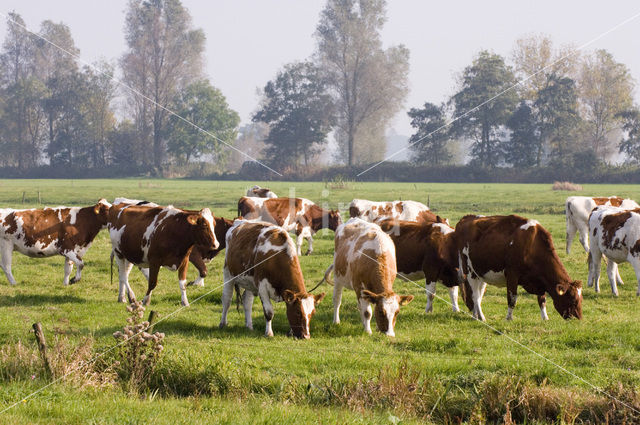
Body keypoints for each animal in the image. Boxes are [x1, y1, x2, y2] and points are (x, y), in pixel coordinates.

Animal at [456, 214, 584, 320]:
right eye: (572, 299)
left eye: (581, 299)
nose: (578, 318)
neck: (533, 245)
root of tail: (466, 218)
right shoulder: (512, 274)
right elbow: (512, 299)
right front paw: (509, 318)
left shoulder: (539, 279)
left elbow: (542, 300)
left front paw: (545, 318)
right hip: (470, 272)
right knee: (475, 294)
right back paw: (478, 317)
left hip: (481, 273)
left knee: (479, 293)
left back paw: (477, 315)